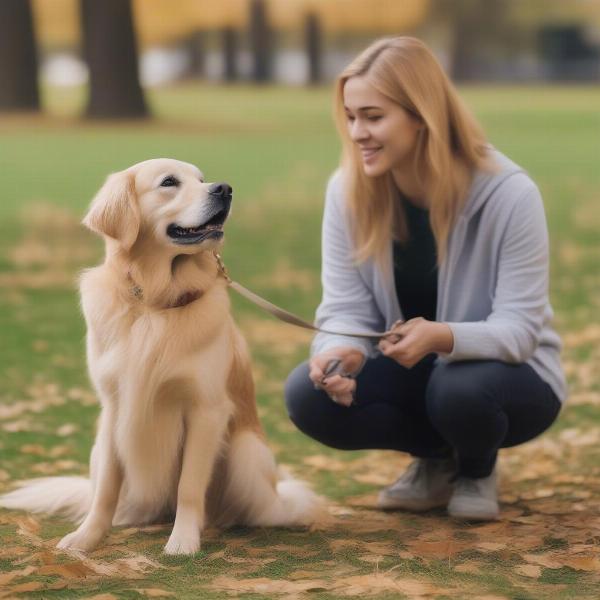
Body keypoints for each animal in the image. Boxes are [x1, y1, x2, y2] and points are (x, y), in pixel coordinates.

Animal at [0, 158, 324, 552]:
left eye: (202, 179)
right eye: (169, 182)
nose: (225, 189)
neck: (155, 303)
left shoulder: (206, 408)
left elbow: (189, 485)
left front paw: (183, 541)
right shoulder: (115, 406)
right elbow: (105, 488)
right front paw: (87, 536)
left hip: (247, 451)